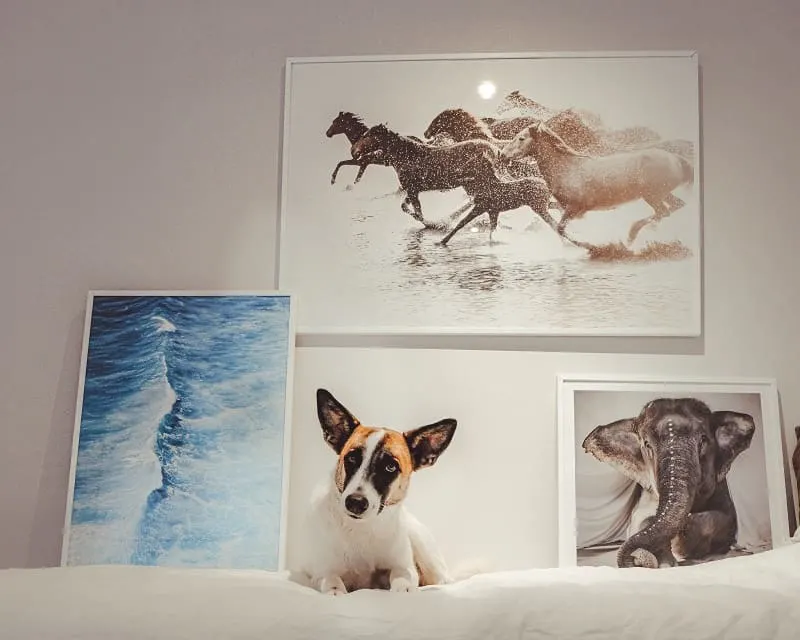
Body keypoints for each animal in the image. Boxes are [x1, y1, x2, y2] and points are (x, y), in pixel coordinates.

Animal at [300, 388, 460, 596]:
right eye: (351, 458)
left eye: (390, 467)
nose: (355, 502)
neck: (362, 528)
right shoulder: (321, 571)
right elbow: (332, 581)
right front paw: (336, 590)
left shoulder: (404, 567)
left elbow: (402, 578)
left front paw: (404, 589)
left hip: (423, 546)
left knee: (443, 579)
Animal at [500, 120, 692, 242]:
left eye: (521, 138)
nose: (502, 154)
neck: (568, 168)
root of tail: (677, 159)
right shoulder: (568, 208)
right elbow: (558, 224)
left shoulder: (576, 207)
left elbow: (561, 228)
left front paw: (589, 247)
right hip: (662, 194)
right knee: (676, 206)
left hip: (652, 195)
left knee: (663, 212)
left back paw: (632, 234)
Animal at [580, 398, 756, 568]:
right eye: (647, 444)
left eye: (703, 440)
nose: (635, 559)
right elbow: (639, 520)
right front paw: (664, 561)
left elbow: (725, 518)